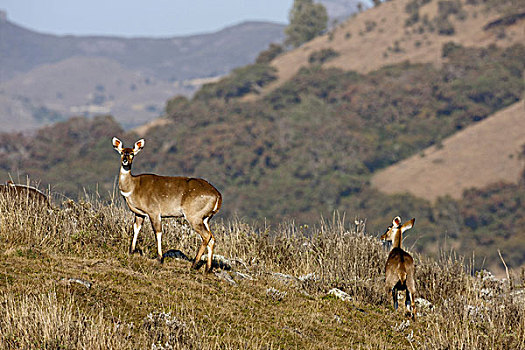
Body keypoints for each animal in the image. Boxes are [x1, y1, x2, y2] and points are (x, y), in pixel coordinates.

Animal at [112, 138, 221, 272]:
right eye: (122, 152)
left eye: (132, 153)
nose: (125, 160)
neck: (133, 188)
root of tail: (218, 196)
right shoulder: (139, 213)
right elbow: (136, 228)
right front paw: (131, 251)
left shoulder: (154, 212)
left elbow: (158, 232)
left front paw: (159, 258)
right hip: (206, 218)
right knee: (212, 238)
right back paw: (207, 269)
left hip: (194, 216)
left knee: (206, 236)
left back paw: (194, 264)